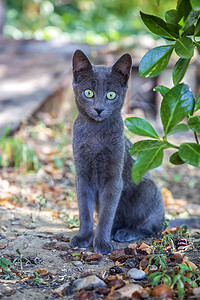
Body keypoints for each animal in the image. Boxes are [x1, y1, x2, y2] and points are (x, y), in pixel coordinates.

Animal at [70, 49, 164, 253]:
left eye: (111, 95)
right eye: (88, 93)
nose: (98, 109)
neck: (95, 135)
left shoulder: (113, 179)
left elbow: (106, 214)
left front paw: (102, 243)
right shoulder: (82, 175)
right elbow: (85, 211)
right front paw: (84, 237)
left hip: (148, 188)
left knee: (152, 226)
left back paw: (125, 232)